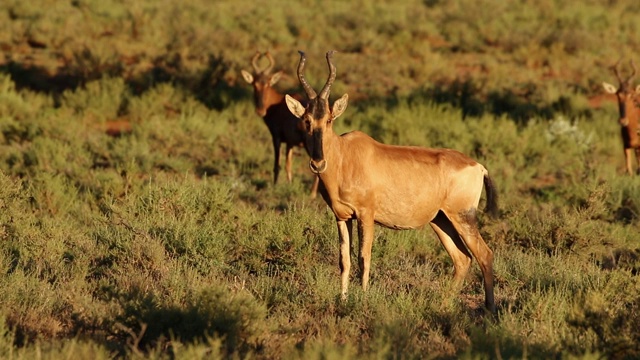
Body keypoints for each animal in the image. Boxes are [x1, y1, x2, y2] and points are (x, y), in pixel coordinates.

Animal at [240, 50, 320, 197]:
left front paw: (275, 186)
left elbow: (277, 164)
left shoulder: (276, 137)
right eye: (254, 84)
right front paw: (289, 185)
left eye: (268, 84)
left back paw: (312, 194)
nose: (260, 111)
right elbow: (288, 165)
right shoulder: (290, 143)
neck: (278, 103)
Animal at [284, 51, 500, 316]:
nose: (318, 163)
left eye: (329, 120)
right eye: (306, 120)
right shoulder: (342, 217)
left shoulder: (366, 215)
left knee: (484, 254)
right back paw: (441, 306)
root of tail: (478, 166)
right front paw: (342, 301)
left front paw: (363, 300)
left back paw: (490, 310)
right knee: (462, 259)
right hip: (441, 220)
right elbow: (344, 259)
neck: (345, 154)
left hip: (463, 217)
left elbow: (364, 257)